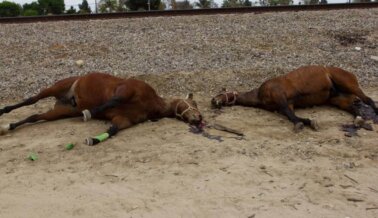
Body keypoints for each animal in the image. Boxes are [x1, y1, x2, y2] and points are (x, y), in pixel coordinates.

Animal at [0, 72, 204, 146]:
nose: (199, 118)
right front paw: (88, 113)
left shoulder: (124, 120)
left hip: (59, 112)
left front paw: (93, 140)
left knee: (34, 116)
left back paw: (9, 127)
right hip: (54, 88)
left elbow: (113, 130)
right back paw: (4, 112)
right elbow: (112, 101)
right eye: (193, 104)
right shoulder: (126, 90)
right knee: (31, 100)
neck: (151, 101)